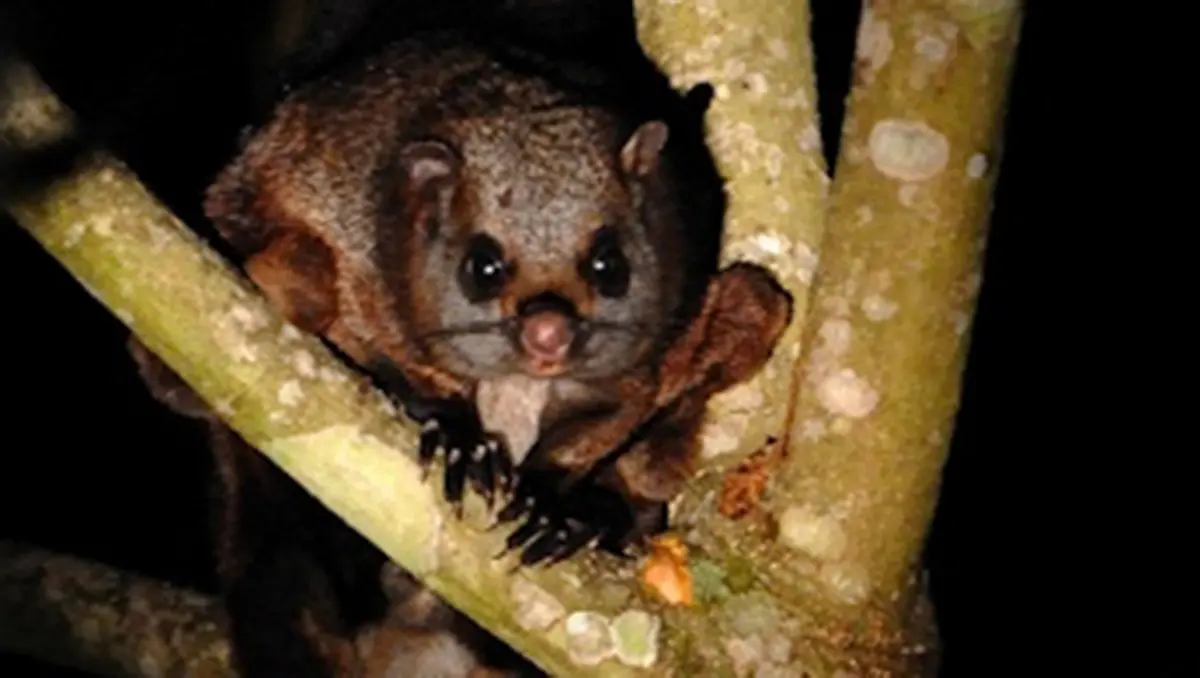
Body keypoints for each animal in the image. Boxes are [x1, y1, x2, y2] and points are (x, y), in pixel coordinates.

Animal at [128, 21, 793, 678]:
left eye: (609, 266)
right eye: (484, 268)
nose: (548, 334)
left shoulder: (656, 343)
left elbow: (621, 409)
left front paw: (561, 506)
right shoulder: (349, 244)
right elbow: (372, 351)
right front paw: (455, 433)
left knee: (752, 306)